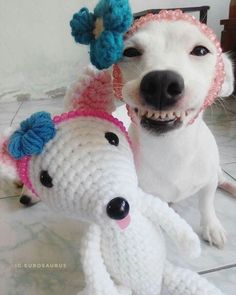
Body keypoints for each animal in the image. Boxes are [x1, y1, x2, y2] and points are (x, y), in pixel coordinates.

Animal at [114, 11, 234, 250]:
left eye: (201, 50)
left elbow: (207, 202)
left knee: (221, 178)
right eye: (130, 52)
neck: (171, 147)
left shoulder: (208, 181)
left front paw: (211, 225)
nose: (161, 82)